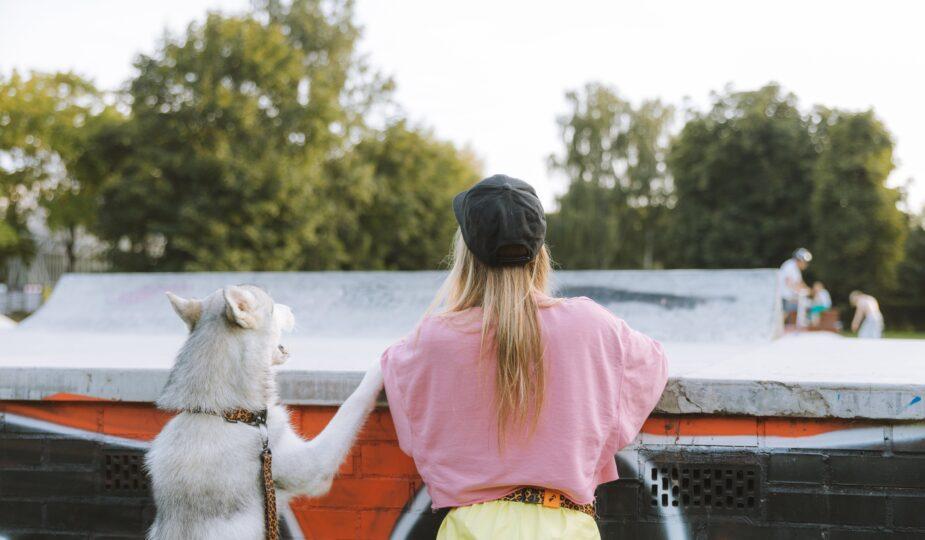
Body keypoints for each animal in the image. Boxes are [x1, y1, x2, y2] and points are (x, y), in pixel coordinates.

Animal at [150, 284, 380, 536]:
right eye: (273, 306)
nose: (291, 308)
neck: (226, 414)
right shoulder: (314, 467)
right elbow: (353, 403)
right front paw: (383, 359)